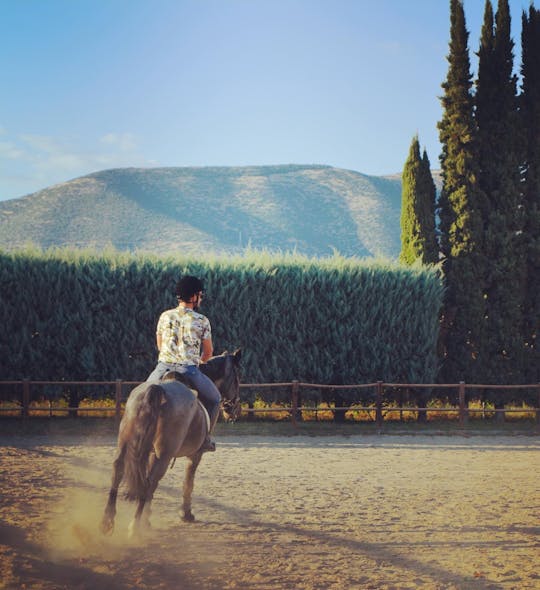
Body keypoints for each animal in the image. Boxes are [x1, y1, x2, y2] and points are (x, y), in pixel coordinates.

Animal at [100, 352, 243, 540]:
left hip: (127, 444)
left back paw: (108, 522)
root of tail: (157, 389)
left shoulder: (152, 452)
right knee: (149, 481)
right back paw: (134, 527)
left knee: (119, 471)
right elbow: (188, 482)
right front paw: (186, 514)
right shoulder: (196, 454)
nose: (235, 409)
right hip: (165, 455)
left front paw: (148, 518)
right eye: (237, 378)